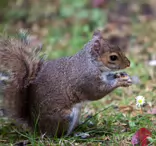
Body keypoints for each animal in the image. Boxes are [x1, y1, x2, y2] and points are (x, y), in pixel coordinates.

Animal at [0, 29, 132, 137]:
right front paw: (120, 81)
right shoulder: (87, 80)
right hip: (64, 117)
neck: (91, 62)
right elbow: (97, 92)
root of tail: (36, 126)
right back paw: (78, 134)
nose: (128, 63)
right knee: (58, 135)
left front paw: (121, 76)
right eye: (113, 57)